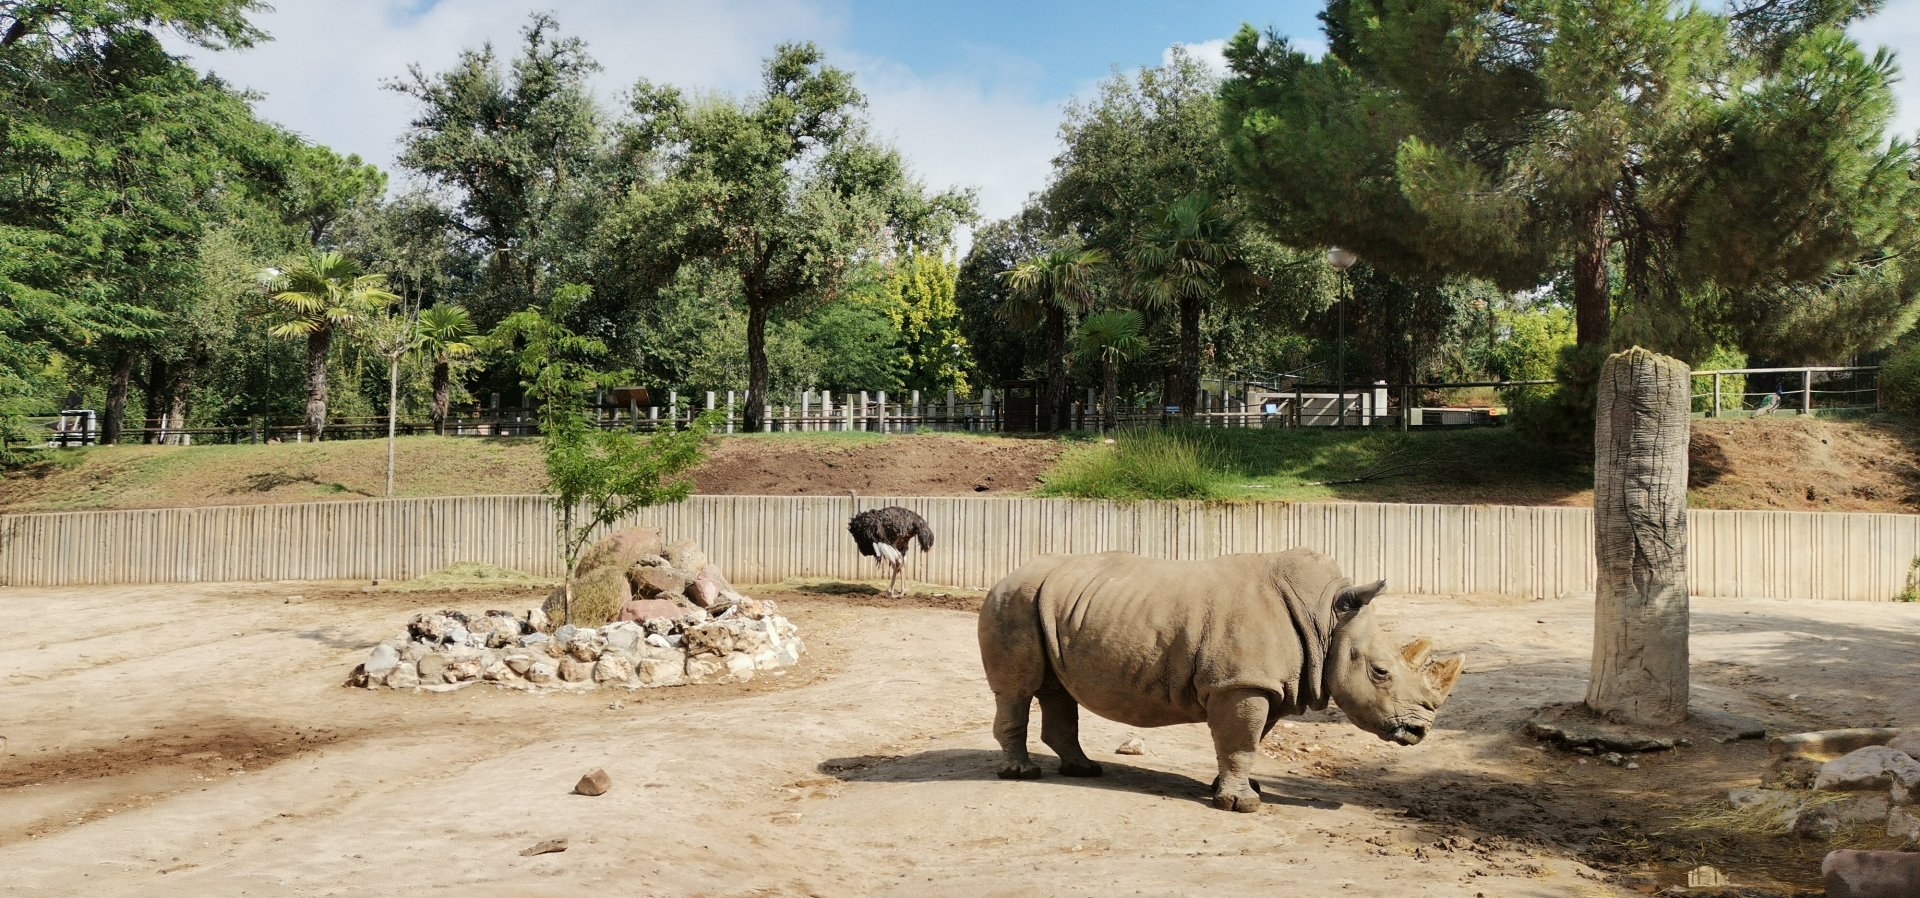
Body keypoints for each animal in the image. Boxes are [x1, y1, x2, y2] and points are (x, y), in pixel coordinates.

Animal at [977, 548, 1464, 812]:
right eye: (1380, 672)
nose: (1420, 730)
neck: (1326, 619)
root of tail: (1003, 575)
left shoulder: (1261, 684)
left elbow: (1246, 742)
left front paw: (1237, 789)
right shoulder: (1241, 682)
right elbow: (1240, 742)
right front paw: (1241, 805)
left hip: (1045, 603)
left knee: (1057, 690)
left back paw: (1083, 769)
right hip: (1012, 601)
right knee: (1016, 690)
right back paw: (1022, 774)